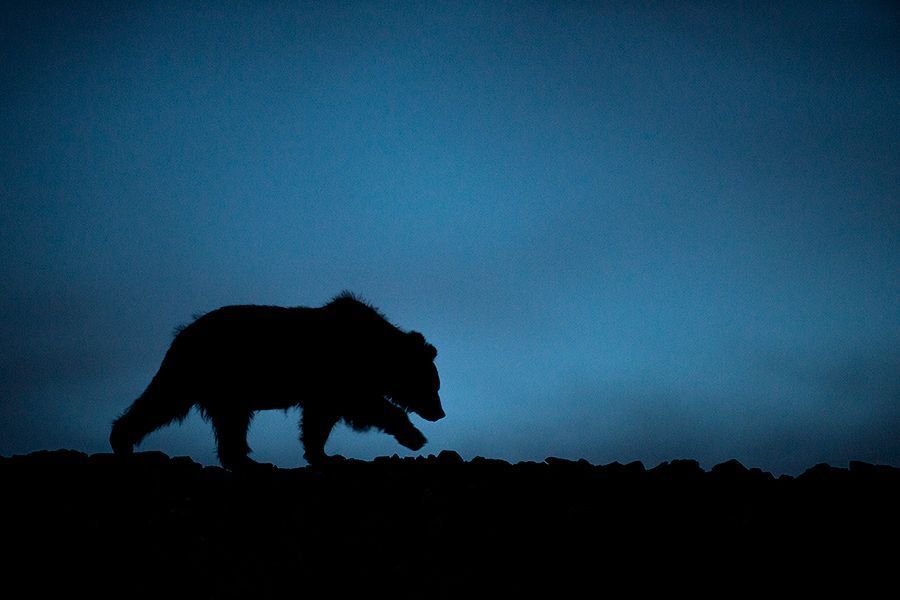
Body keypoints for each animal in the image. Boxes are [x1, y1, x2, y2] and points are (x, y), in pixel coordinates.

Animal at [109, 292, 444, 468]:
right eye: (433, 385)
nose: (440, 413)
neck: (377, 352)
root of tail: (182, 333)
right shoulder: (338, 377)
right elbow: (365, 406)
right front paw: (414, 437)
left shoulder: (323, 389)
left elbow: (319, 420)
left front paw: (322, 454)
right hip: (208, 373)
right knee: (168, 402)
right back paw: (121, 441)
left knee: (221, 420)